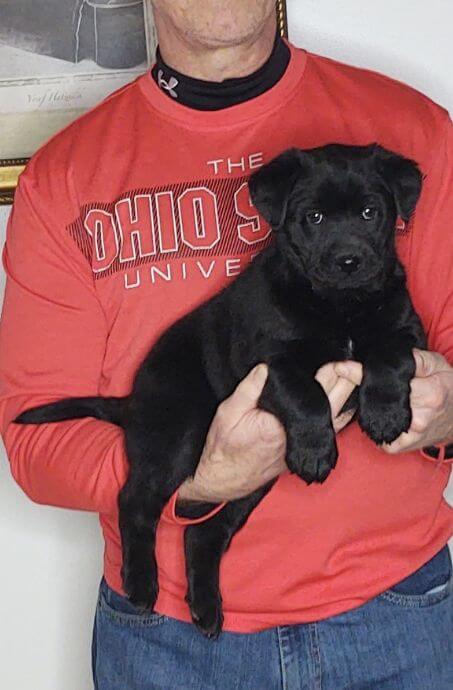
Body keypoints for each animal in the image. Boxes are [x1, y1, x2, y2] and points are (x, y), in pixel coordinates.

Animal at [14, 145, 424, 640]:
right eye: (315, 217)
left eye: (370, 212)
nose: (349, 262)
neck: (339, 305)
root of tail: (133, 402)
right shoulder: (268, 361)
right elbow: (305, 393)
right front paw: (316, 450)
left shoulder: (409, 331)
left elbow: (391, 356)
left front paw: (384, 414)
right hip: (181, 433)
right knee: (135, 501)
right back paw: (141, 584)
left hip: (251, 483)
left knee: (201, 531)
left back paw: (206, 608)